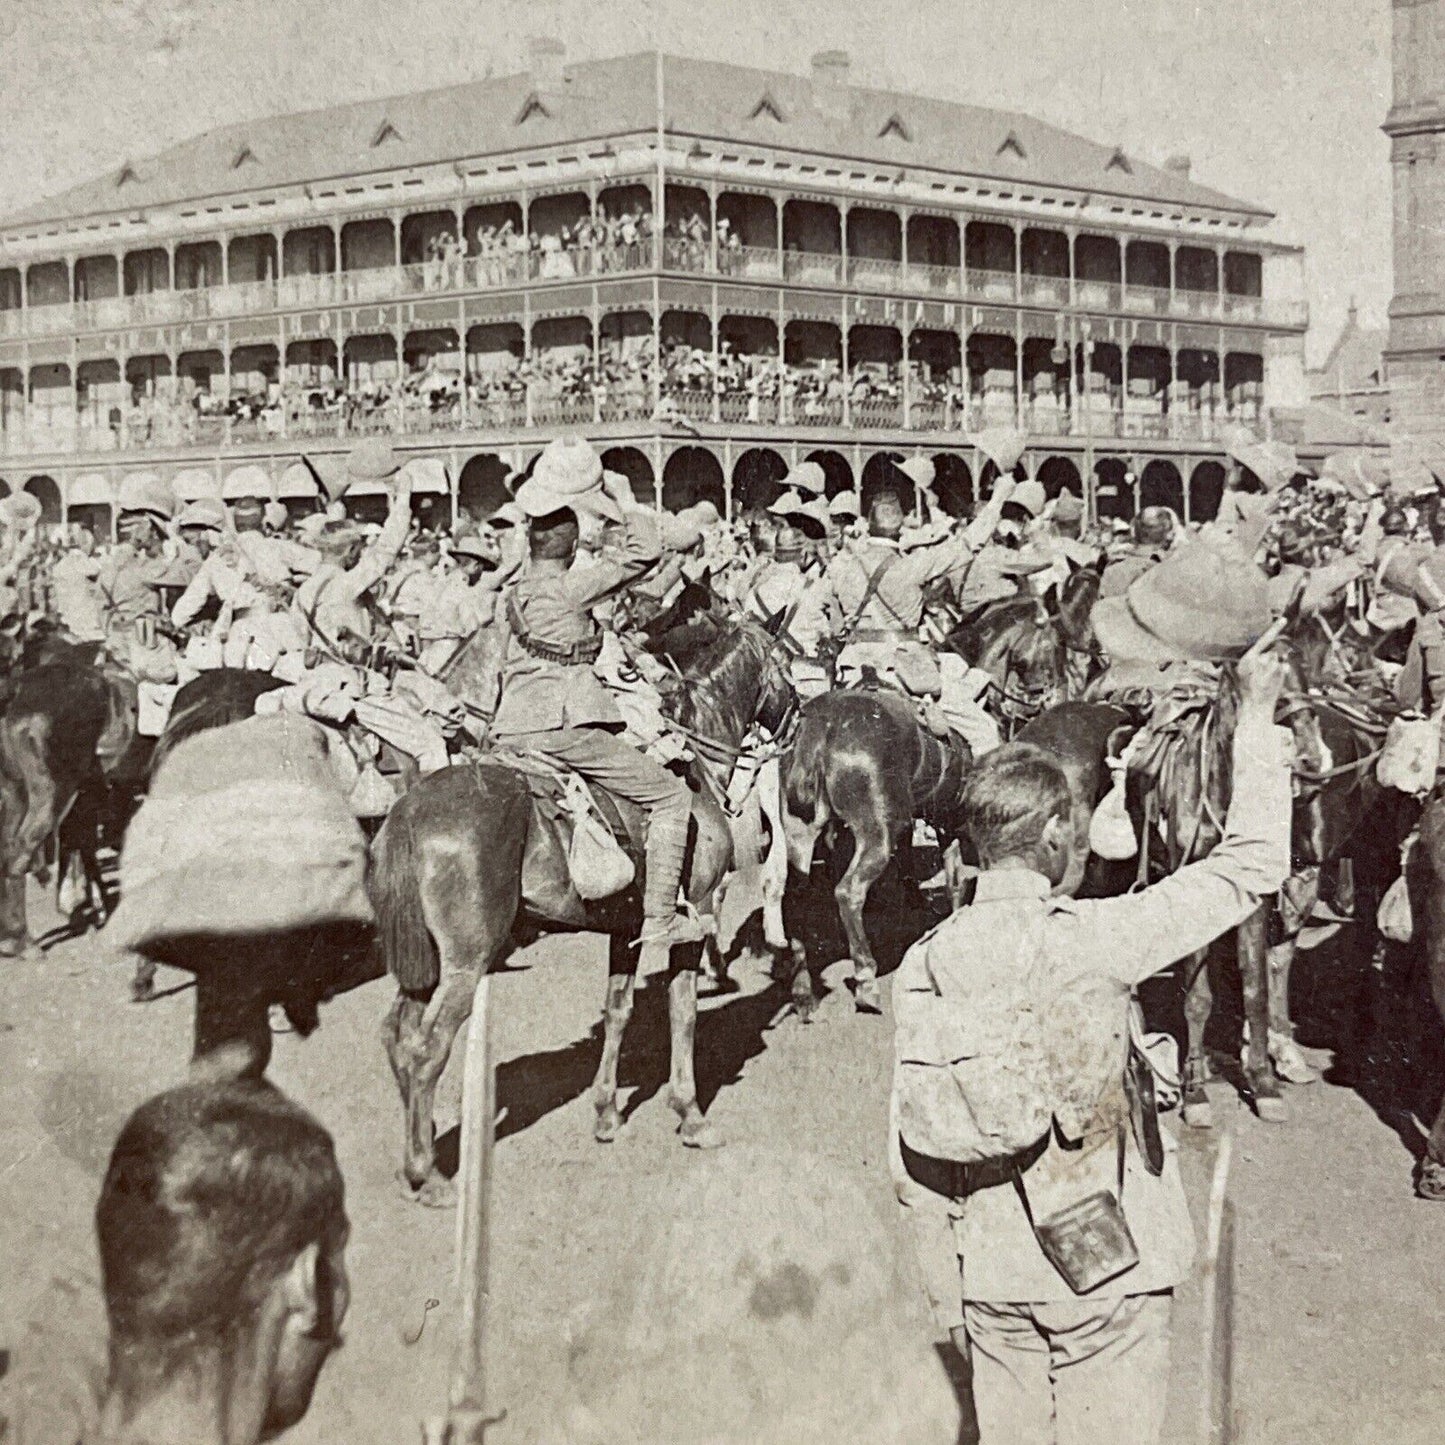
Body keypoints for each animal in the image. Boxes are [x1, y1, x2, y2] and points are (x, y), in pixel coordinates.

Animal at [372, 615, 797, 1202]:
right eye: (787, 662)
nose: (799, 714)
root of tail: (409, 812)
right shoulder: (694, 913)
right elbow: (683, 1011)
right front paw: (690, 1114)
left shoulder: (628, 927)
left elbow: (619, 1011)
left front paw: (606, 1112)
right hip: (465, 963)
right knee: (426, 1047)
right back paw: (426, 1173)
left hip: (424, 963)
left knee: (397, 1035)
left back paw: (416, 1155)